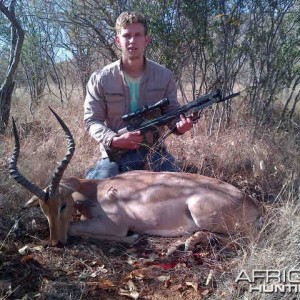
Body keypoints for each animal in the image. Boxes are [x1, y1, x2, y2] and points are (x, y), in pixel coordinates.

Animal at [9, 108, 260, 251]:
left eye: (63, 205)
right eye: (43, 209)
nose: (55, 243)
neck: (97, 192)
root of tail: (255, 204)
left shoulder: (115, 225)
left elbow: (73, 227)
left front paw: (134, 238)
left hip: (203, 214)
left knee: (242, 238)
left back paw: (184, 244)